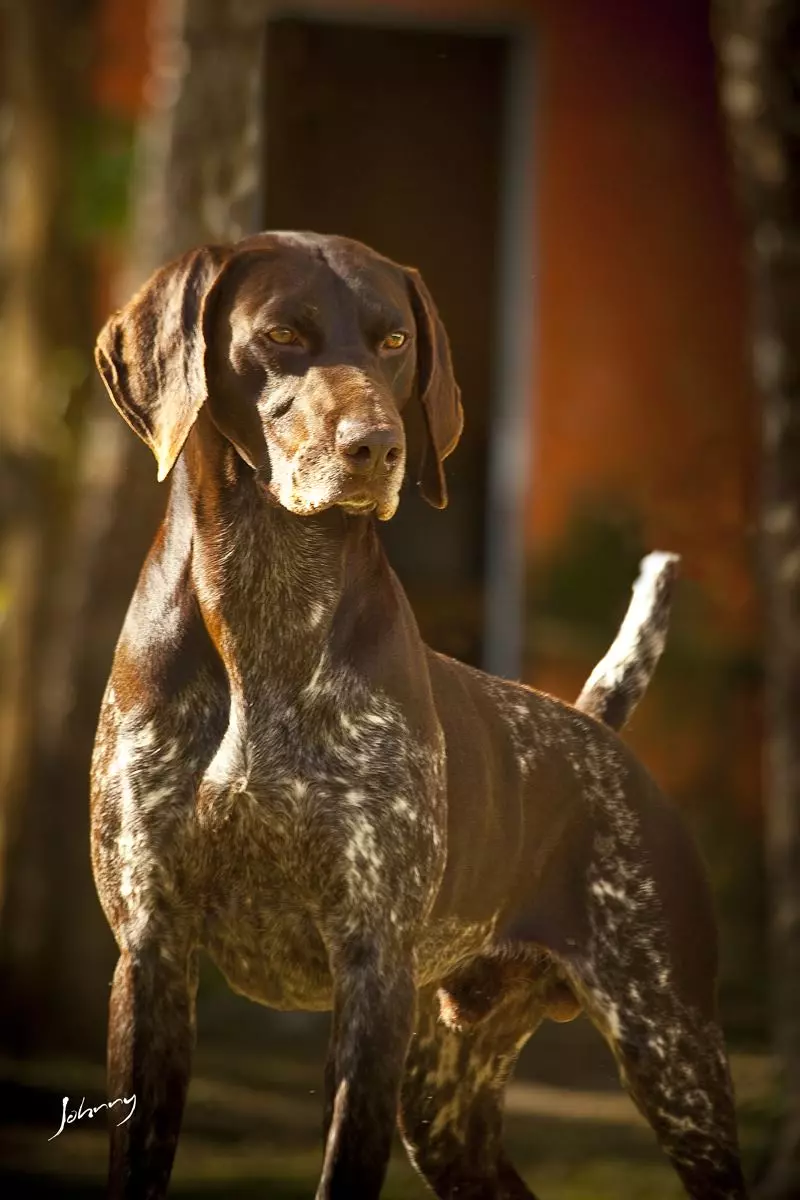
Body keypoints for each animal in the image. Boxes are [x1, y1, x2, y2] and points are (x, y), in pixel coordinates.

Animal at [91, 231, 747, 1199]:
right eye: (282, 334)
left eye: (394, 342)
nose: (378, 446)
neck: (267, 604)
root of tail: (594, 726)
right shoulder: (152, 953)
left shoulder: (373, 972)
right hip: (446, 1103)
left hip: (671, 1053)